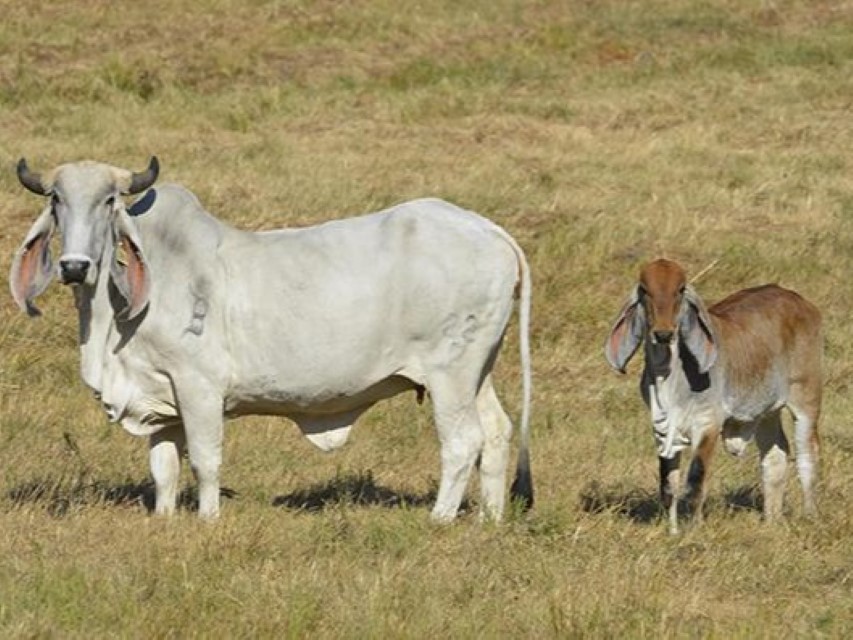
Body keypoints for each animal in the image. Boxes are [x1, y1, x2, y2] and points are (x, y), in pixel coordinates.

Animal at [10, 157, 533, 522]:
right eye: (55, 200)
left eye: (110, 201)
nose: (74, 266)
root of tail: (489, 230)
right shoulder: (160, 400)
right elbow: (163, 470)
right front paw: (164, 519)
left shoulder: (199, 387)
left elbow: (205, 460)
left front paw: (208, 519)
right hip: (477, 373)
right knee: (496, 432)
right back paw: (488, 520)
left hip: (450, 374)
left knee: (463, 441)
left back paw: (440, 518)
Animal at [604, 258, 821, 534]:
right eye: (644, 289)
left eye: (680, 289)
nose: (663, 334)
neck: (670, 376)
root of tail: (799, 301)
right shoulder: (661, 429)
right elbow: (668, 486)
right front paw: (672, 531)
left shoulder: (708, 424)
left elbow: (695, 482)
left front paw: (693, 529)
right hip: (767, 411)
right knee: (775, 456)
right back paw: (772, 520)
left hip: (807, 399)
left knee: (807, 456)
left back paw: (810, 515)